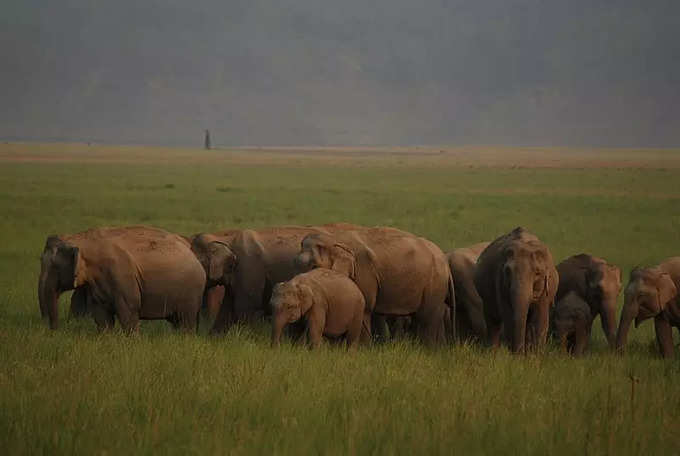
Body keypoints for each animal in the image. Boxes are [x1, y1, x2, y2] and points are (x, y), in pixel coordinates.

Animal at [37, 226, 205, 334]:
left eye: (55, 268)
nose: (54, 332)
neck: (82, 241)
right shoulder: (96, 283)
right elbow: (101, 315)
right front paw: (106, 339)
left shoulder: (121, 275)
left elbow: (128, 311)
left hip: (191, 291)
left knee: (185, 320)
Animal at [189, 223, 364, 334]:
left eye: (197, 261)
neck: (226, 238)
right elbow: (226, 309)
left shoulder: (249, 269)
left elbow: (244, 307)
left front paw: (246, 339)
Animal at [294, 228, 454, 346]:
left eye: (314, 266)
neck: (335, 238)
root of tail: (444, 260)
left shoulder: (364, 272)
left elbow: (365, 307)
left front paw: (363, 349)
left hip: (434, 283)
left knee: (426, 318)